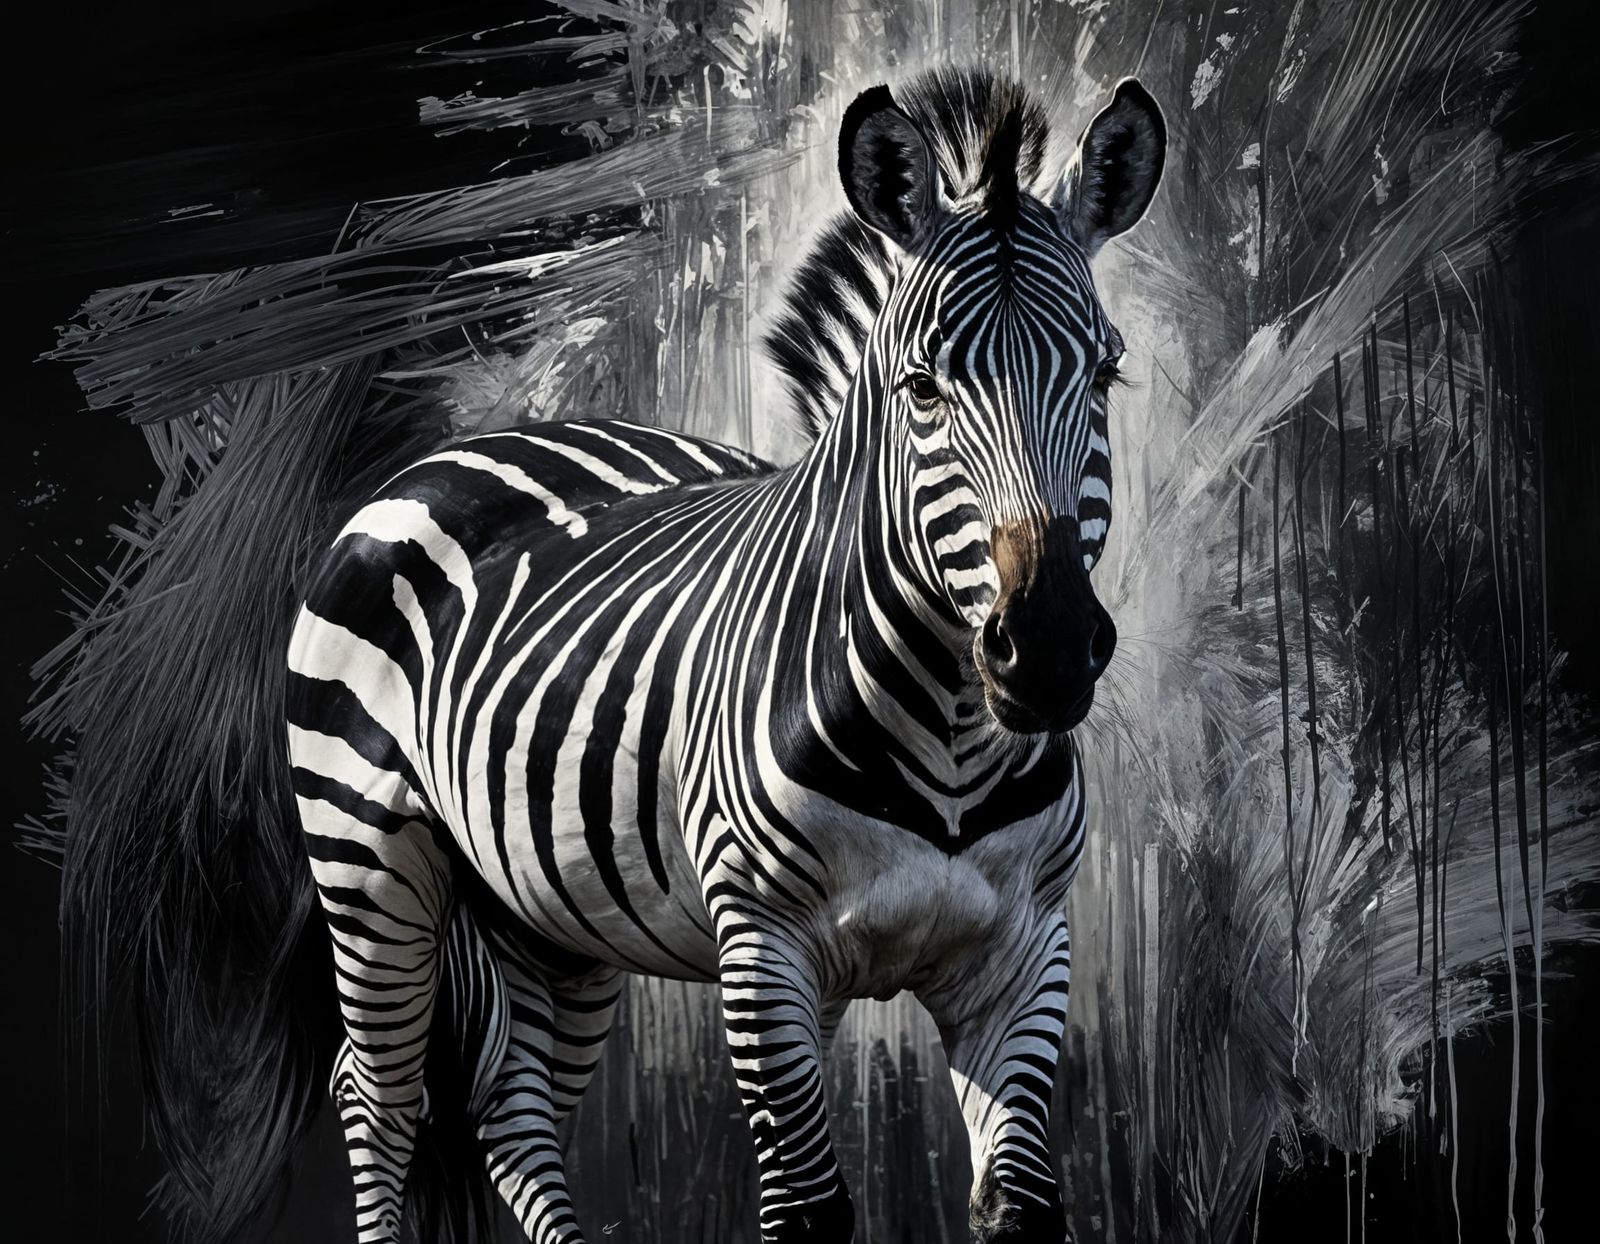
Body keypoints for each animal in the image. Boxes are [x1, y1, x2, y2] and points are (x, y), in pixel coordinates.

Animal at [287, 67, 1163, 1244]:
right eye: (921, 388)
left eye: (1105, 374)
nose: (1051, 650)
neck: (951, 739)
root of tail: (468, 447)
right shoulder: (763, 952)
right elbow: (807, 1208)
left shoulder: (1023, 956)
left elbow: (1016, 1204)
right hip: (367, 857)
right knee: (375, 1095)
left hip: (545, 907)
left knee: (510, 1106)